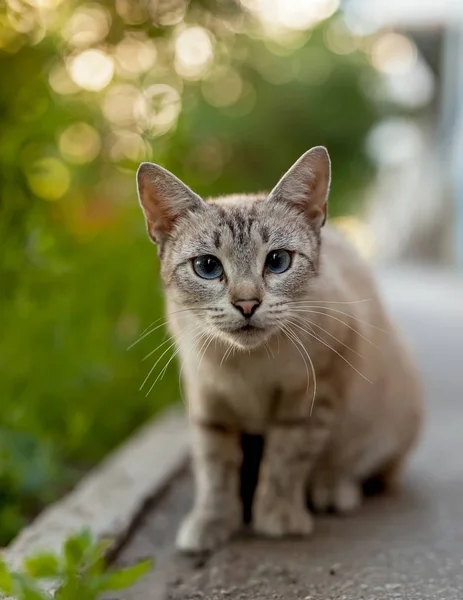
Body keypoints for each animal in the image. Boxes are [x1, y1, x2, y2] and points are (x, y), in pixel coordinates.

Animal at [135, 145, 424, 552]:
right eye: (207, 266)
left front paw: (277, 516)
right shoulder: (207, 397)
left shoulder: (313, 393)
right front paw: (212, 522)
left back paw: (332, 488)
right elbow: (214, 467)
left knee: (368, 466)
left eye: (277, 261)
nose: (247, 303)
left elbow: (287, 459)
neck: (246, 364)